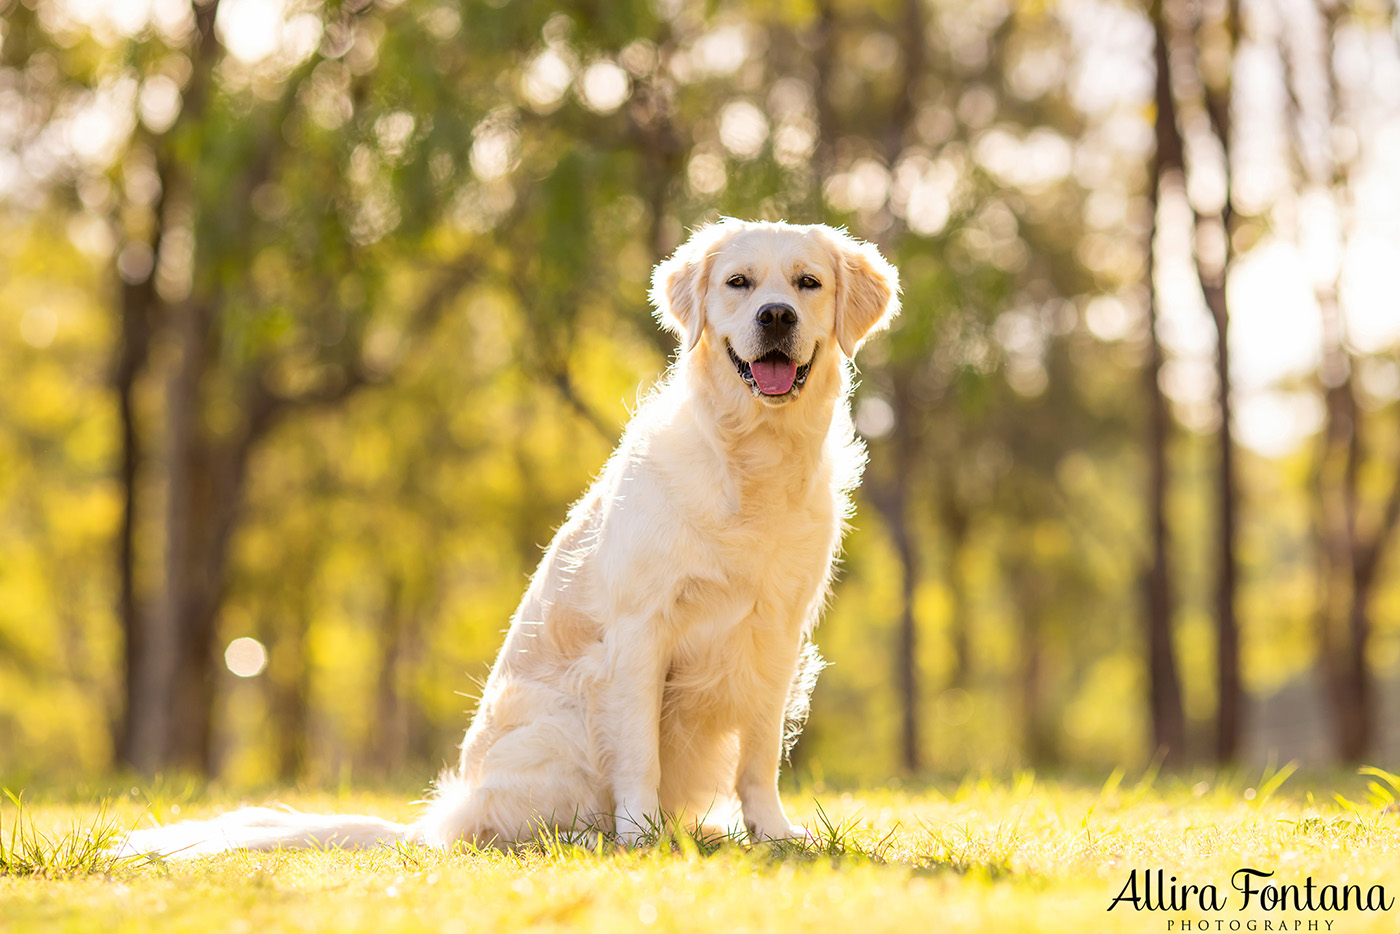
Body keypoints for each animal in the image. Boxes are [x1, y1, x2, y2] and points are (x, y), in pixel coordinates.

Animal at [117, 217, 896, 856]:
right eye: (738, 283)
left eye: (807, 283)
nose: (775, 315)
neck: (751, 460)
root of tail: (437, 824)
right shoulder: (640, 631)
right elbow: (639, 754)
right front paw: (640, 838)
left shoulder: (776, 635)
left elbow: (759, 757)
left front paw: (772, 833)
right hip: (561, 724)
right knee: (511, 828)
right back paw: (592, 837)